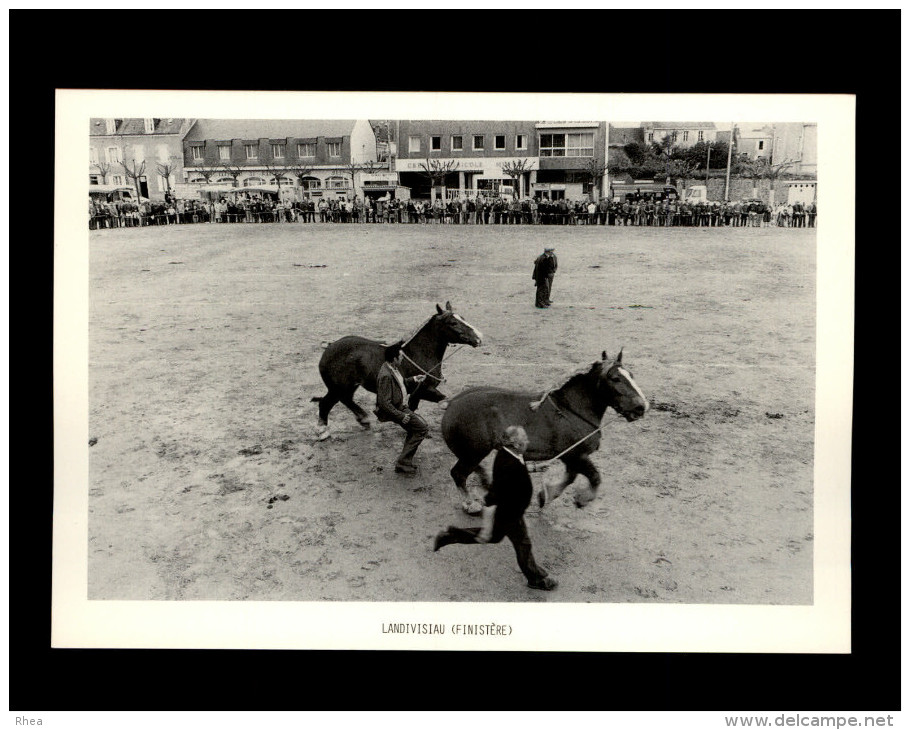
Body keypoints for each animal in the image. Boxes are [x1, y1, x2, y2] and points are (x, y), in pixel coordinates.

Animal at [314, 302, 484, 438]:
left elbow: (413, 408)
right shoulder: (424, 390)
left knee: (346, 399)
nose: (479, 337)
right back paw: (322, 431)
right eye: (453, 323)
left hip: (349, 386)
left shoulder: (416, 393)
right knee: (325, 403)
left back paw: (363, 419)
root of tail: (329, 348)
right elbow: (446, 401)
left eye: (462, 317)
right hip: (337, 388)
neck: (419, 353)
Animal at [442, 348, 648, 512]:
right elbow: (595, 477)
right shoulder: (577, 456)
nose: (641, 407)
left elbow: (570, 477)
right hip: (473, 454)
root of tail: (451, 405)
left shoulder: (571, 457)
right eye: (615, 378)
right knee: (458, 474)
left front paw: (546, 495)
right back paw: (470, 504)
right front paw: (582, 499)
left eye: (631, 374)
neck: (571, 409)